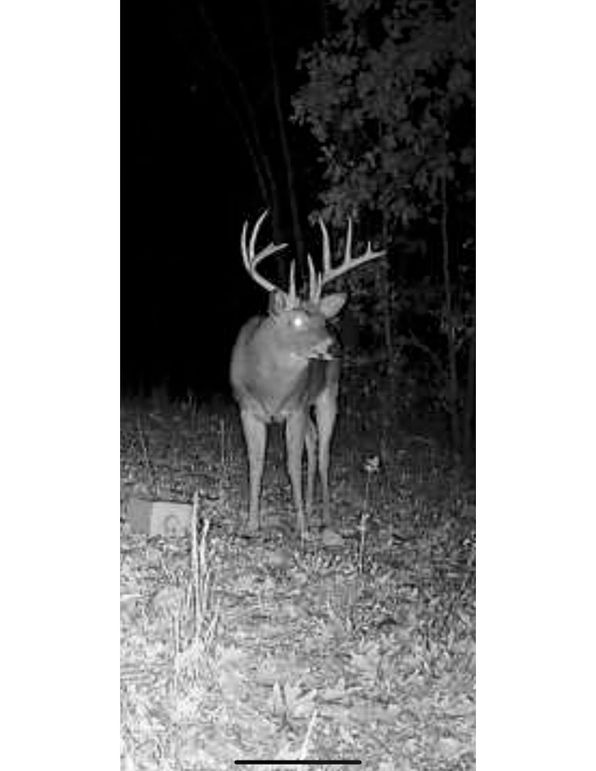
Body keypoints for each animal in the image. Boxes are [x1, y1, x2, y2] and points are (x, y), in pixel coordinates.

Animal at [230, 210, 385, 537]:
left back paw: (323, 518)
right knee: (313, 445)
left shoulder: (295, 408)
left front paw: (301, 528)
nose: (334, 347)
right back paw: (312, 509)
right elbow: (256, 463)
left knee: (323, 454)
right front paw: (252, 524)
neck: (269, 386)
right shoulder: (247, 409)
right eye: (298, 321)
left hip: (328, 394)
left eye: (324, 319)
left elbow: (291, 464)